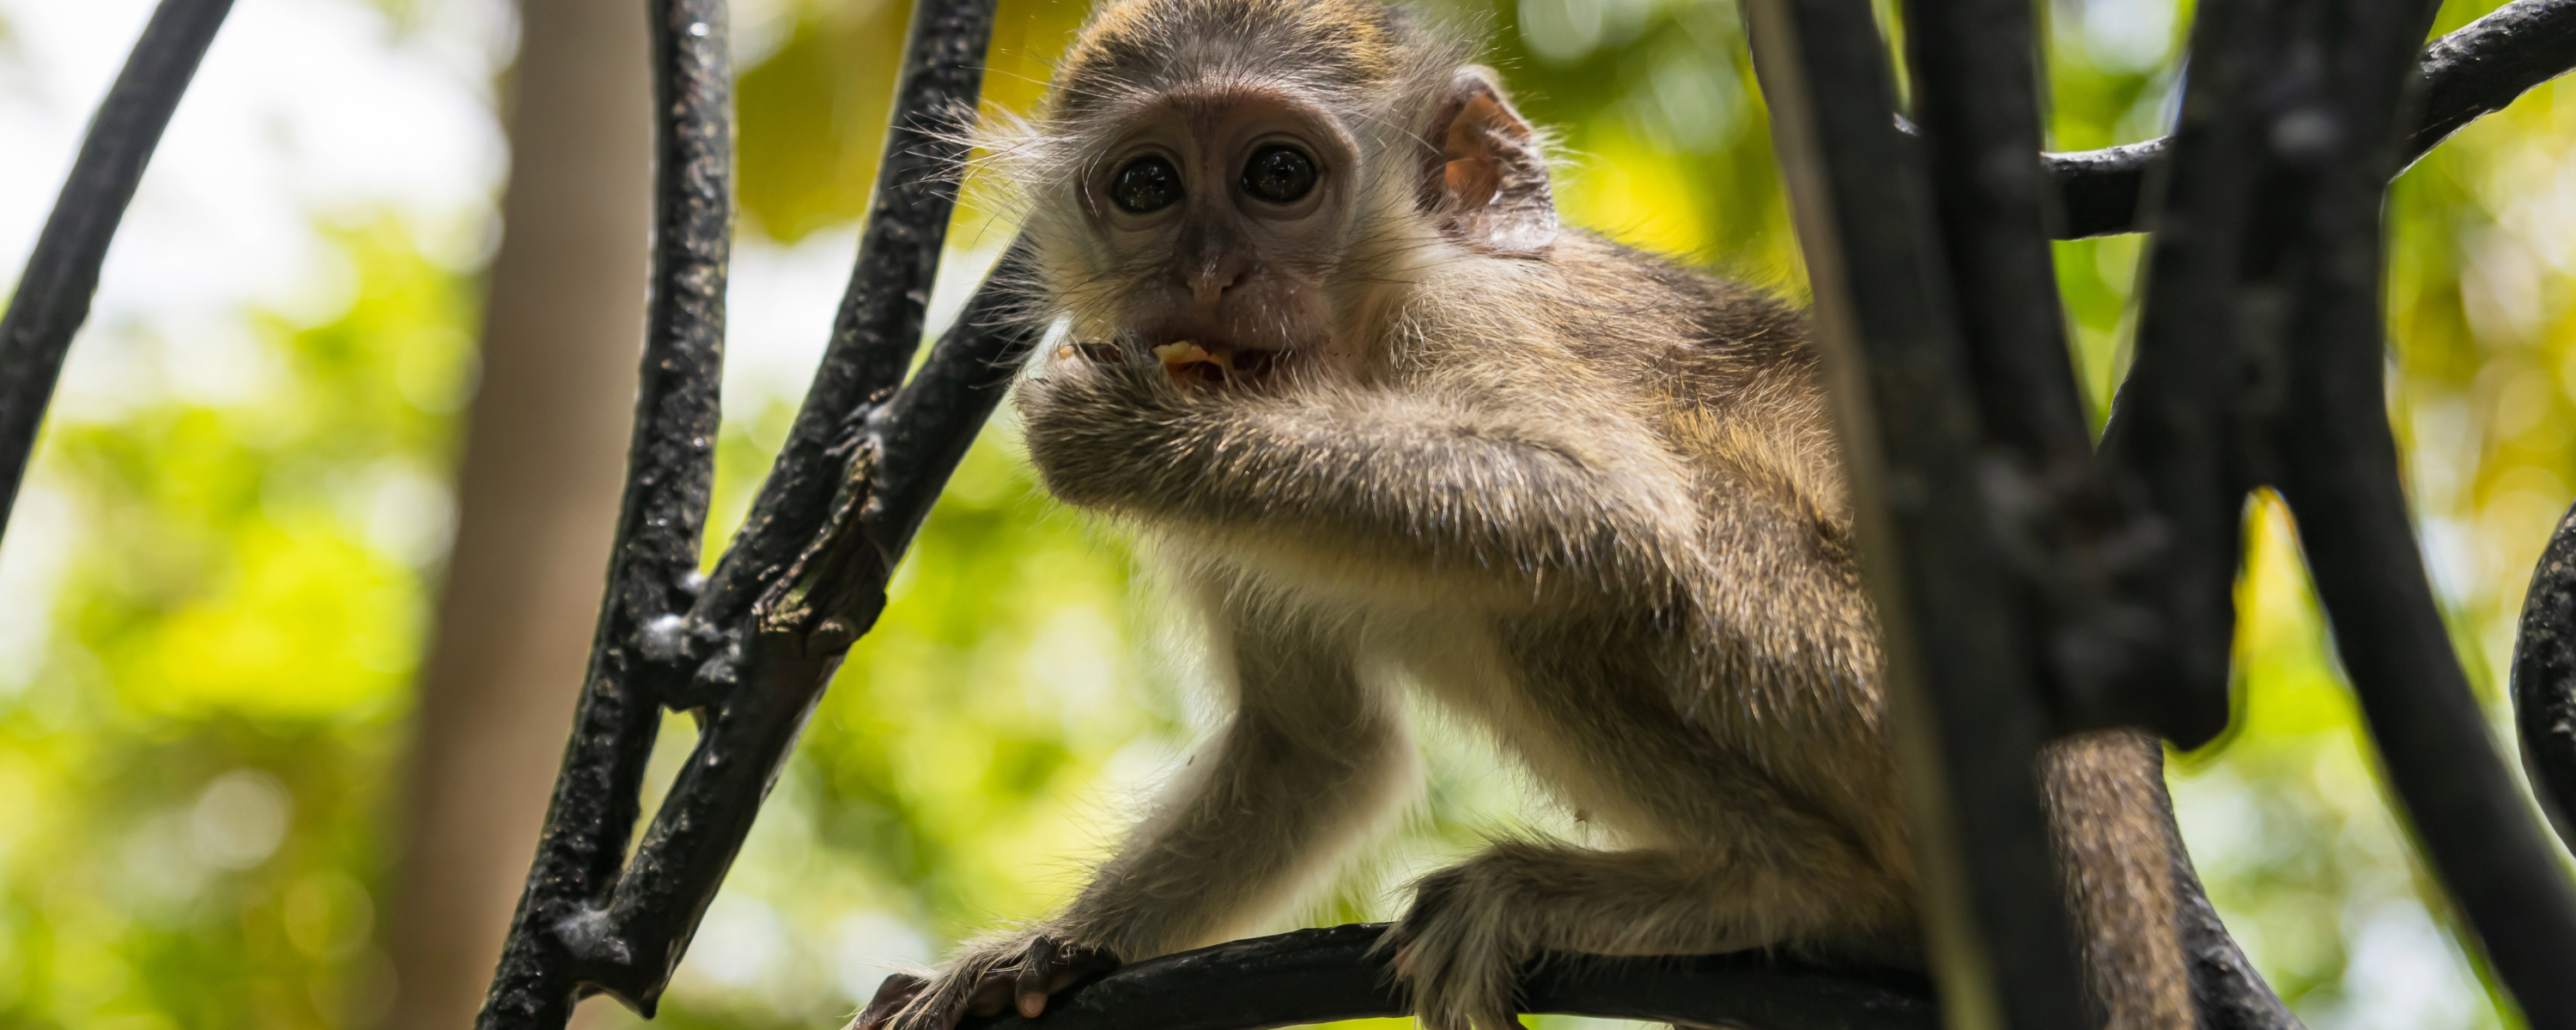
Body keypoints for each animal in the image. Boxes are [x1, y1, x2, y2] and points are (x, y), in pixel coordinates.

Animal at [849, 1, 2194, 1028]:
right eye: (1146, 186)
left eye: (1278, 175)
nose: (1211, 273)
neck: (1355, 353)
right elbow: (1314, 750)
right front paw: (1041, 957)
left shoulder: (1468, 320)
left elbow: (1609, 515)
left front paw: (1139, 441)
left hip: (1859, 680)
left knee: (1580, 596)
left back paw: (1789, 889)